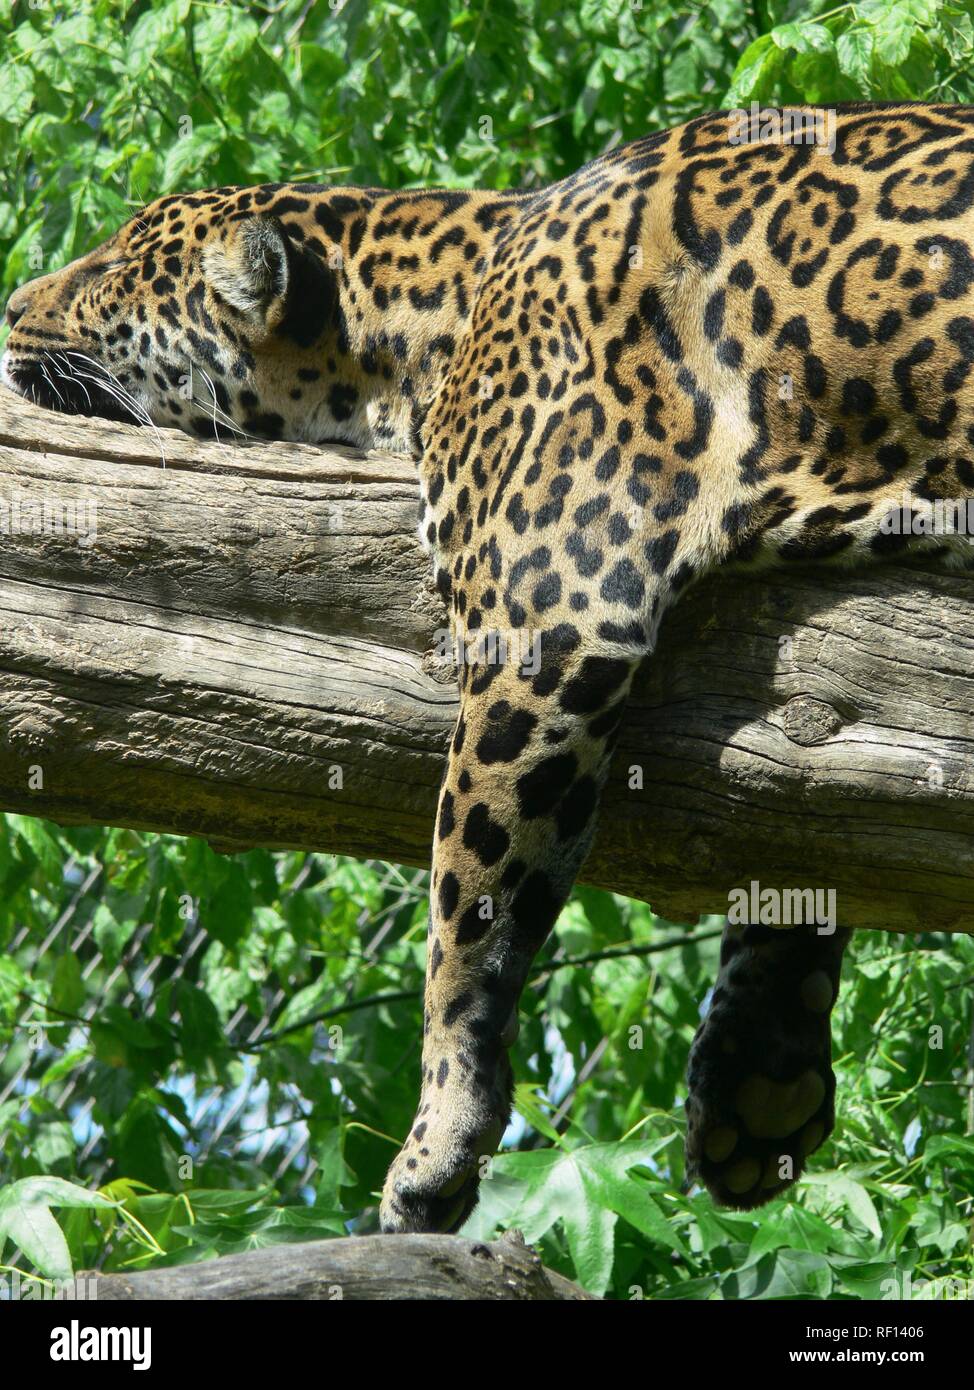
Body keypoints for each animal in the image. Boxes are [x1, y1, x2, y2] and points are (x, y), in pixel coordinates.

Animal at [3, 101, 974, 1236]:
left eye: (114, 268)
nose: (12, 305)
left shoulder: (551, 619)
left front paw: (437, 1140)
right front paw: (758, 1086)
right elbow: (796, 833)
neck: (419, 325)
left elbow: (466, 907)